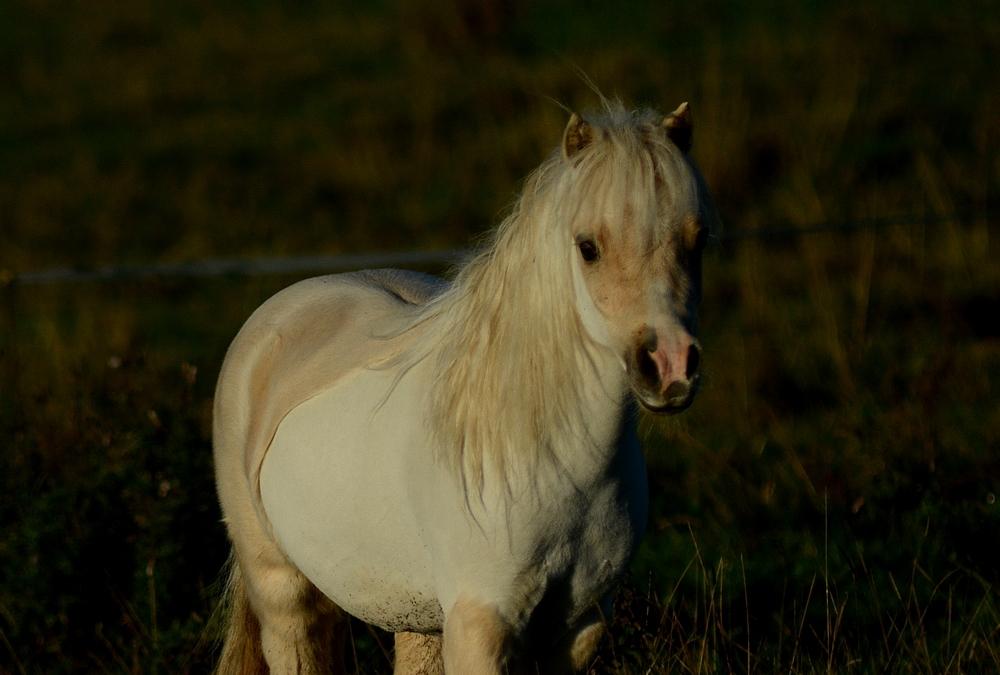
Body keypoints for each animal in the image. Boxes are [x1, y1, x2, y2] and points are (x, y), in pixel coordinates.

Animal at [215, 100, 716, 675]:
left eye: (698, 241)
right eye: (588, 247)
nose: (670, 366)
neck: (551, 456)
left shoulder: (581, 625)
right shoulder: (481, 624)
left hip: (416, 616)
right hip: (283, 590)